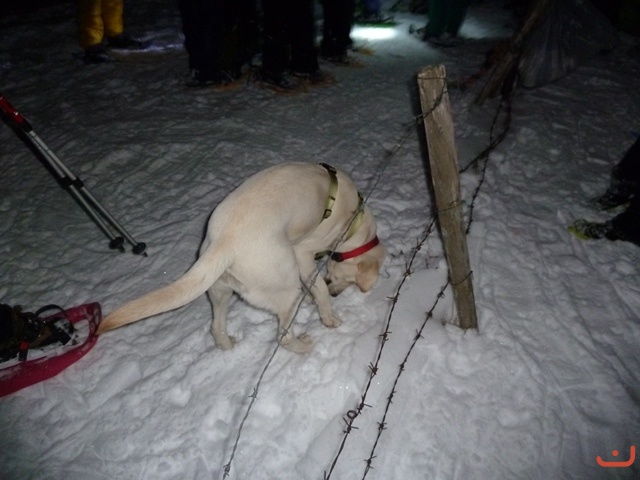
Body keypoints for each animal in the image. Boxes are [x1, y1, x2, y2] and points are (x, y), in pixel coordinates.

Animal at [97, 163, 386, 353]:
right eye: (348, 281)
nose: (336, 292)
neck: (354, 221)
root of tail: (225, 241)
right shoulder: (303, 253)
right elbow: (319, 291)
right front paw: (329, 316)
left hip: (219, 290)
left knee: (216, 327)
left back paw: (227, 344)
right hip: (285, 288)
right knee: (283, 337)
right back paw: (303, 346)